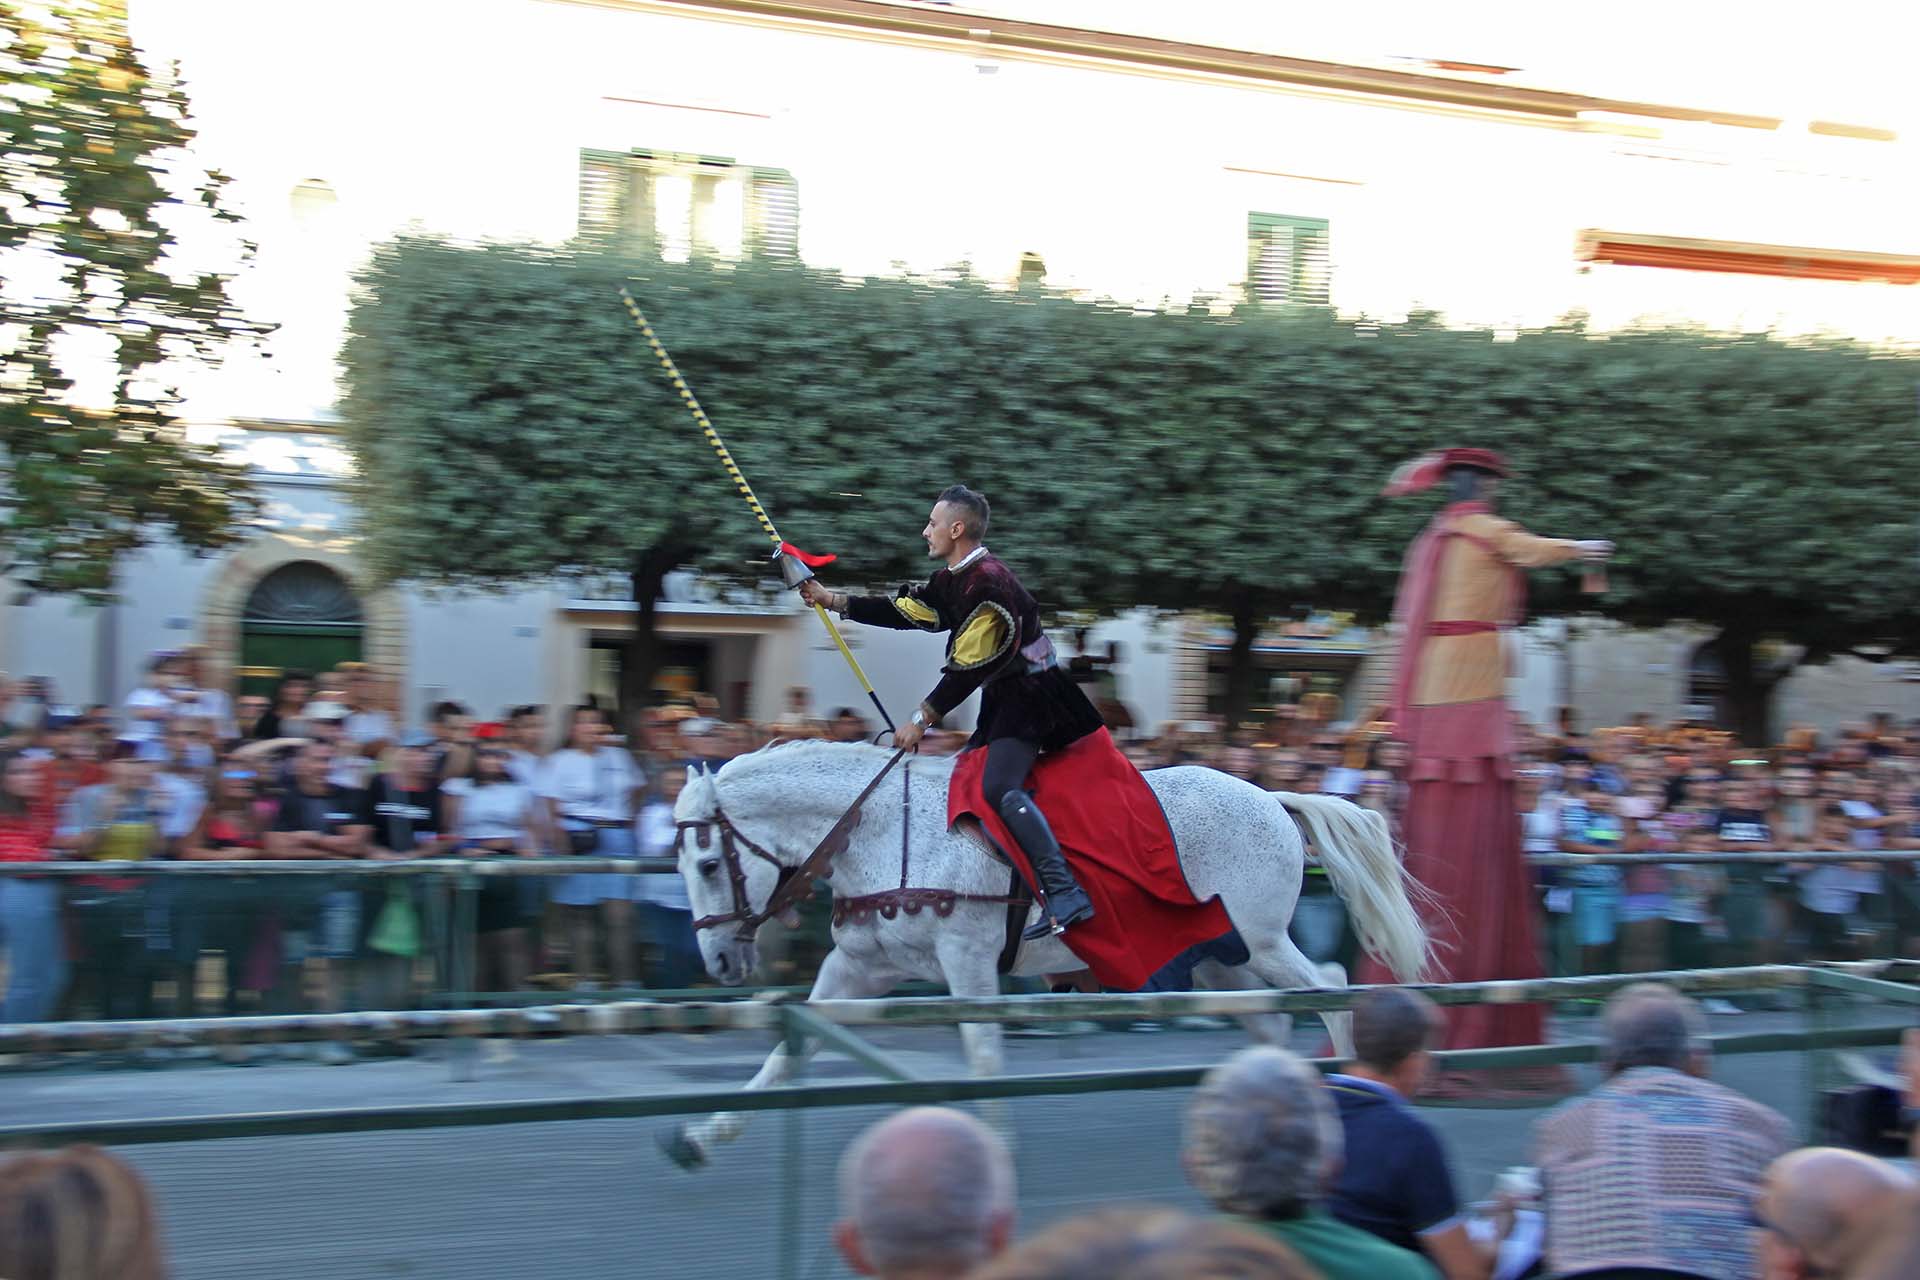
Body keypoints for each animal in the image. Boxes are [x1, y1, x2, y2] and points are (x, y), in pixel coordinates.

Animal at [660, 740, 1428, 1174]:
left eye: (708, 862)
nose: (718, 963)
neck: (885, 831)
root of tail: (1269, 793)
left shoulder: (968, 965)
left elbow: (983, 1063)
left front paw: (994, 1153)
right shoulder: (857, 968)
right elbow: (787, 1056)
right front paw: (704, 1134)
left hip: (1261, 943)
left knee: (1331, 987)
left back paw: (1345, 1096)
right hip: (1221, 961)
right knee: (1273, 1022)